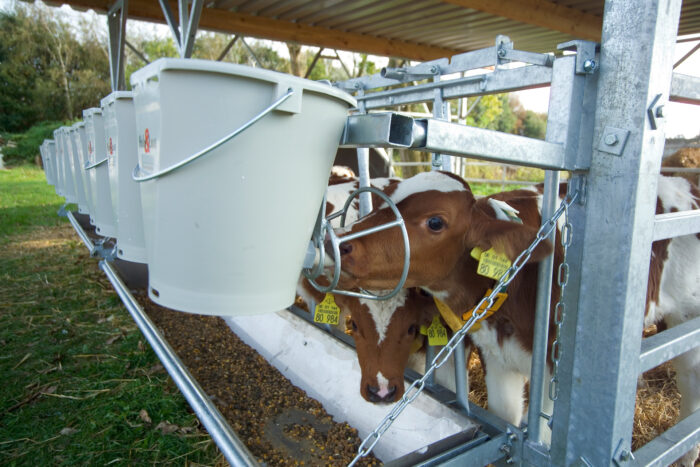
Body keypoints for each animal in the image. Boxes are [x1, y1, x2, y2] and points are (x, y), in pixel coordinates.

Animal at [330, 171, 696, 464]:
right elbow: (504, 417)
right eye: (383, 204)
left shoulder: (552, 372)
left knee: (690, 386)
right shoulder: (495, 356)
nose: (340, 242)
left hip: (688, 319)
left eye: (435, 221)